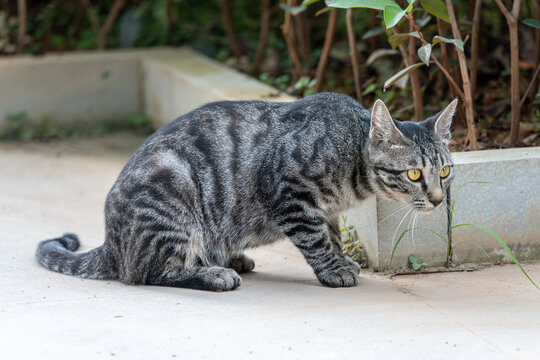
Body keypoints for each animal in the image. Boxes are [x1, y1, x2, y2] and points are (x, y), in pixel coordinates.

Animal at [35, 92, 456, 290]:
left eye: (445, 171)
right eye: (414, 173)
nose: (438, 199)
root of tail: (111, 242)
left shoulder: (328, 209)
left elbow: (332, 234)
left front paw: (340, 260)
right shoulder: (288, 189)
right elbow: (316, 238)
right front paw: (334, 269)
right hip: (172, 195)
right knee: (148, 272)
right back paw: (212, 274)